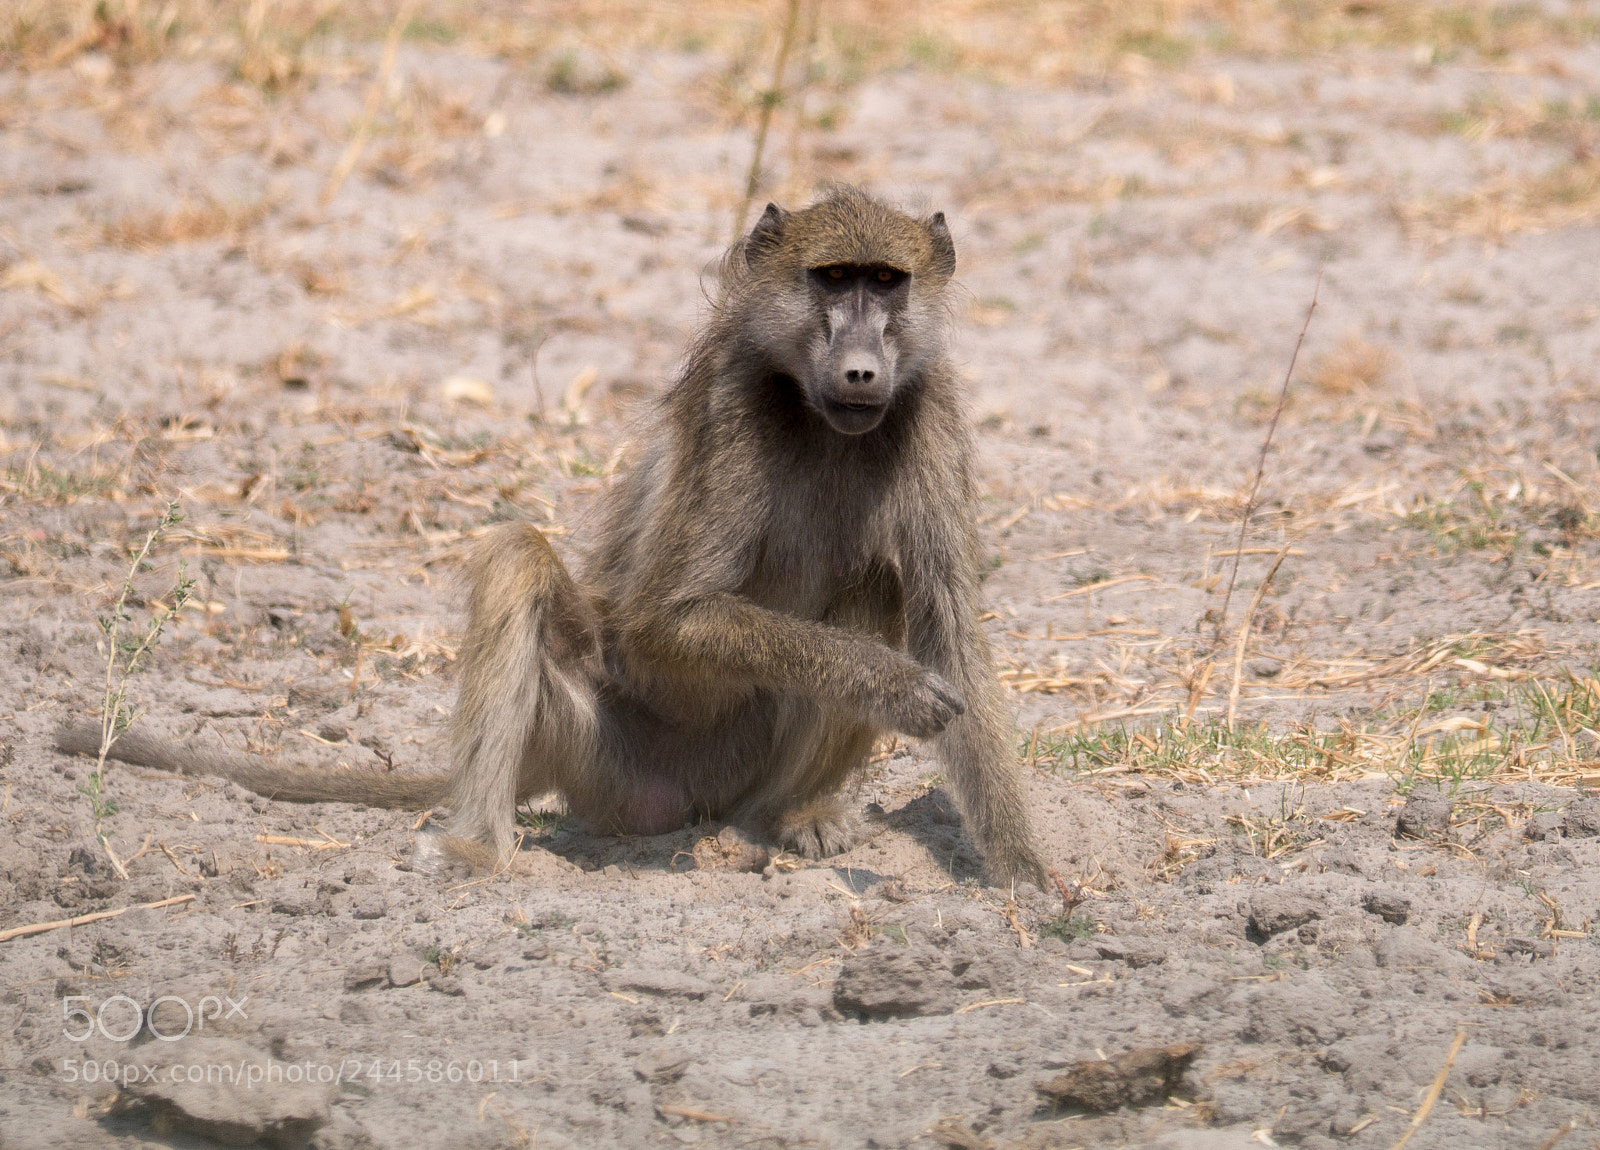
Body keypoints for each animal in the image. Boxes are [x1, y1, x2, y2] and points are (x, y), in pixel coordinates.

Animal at [57, 186, 1049, 887]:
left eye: (887, 283)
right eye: (832, 280)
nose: (861, 370)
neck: (816, 415)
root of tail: (694, 802)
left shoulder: (931, 412)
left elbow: (950, 632)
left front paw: (1027, 880)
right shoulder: (733, 405)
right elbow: (663, 620)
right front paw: (894, 685)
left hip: (743, 777)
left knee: (878, 588)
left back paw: (794, 818)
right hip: (603, 755)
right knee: (517, 562)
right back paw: (476, 850)